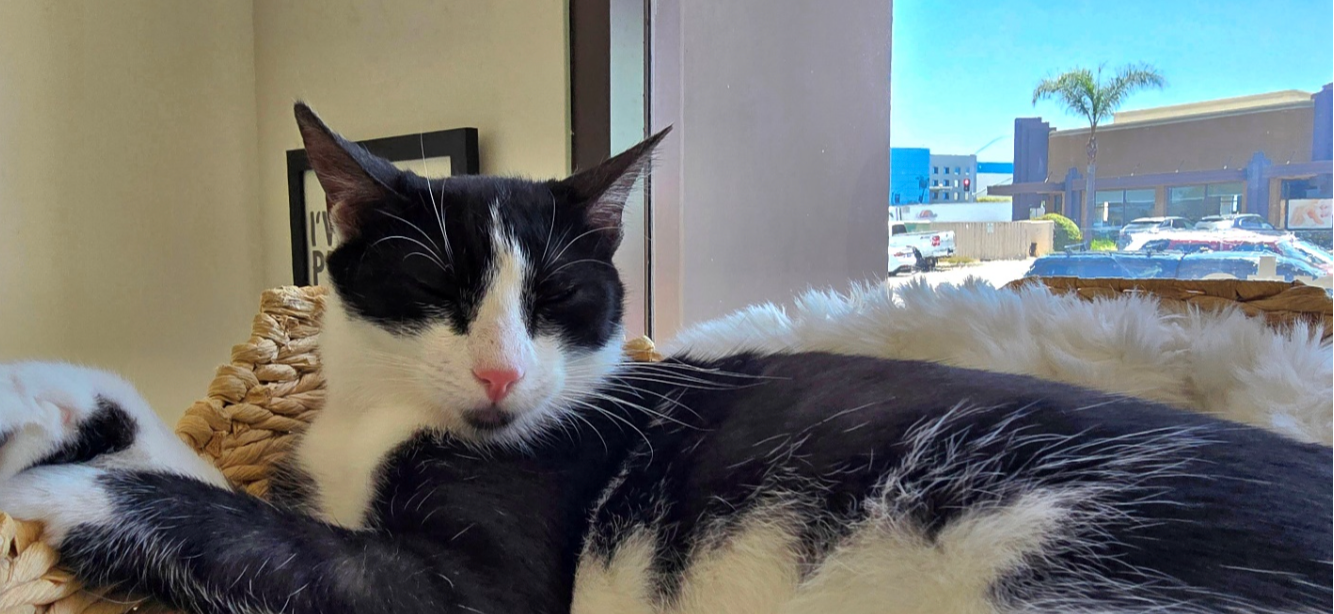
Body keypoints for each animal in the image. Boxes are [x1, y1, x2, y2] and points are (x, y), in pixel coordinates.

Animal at [0, 105, 1328, 614]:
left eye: (559, 297)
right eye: (436, 289)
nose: (500, 377)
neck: (377, 423)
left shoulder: (484, 587)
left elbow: (282, 542)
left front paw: (61, 484)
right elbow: (231, 485)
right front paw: (49, 396)